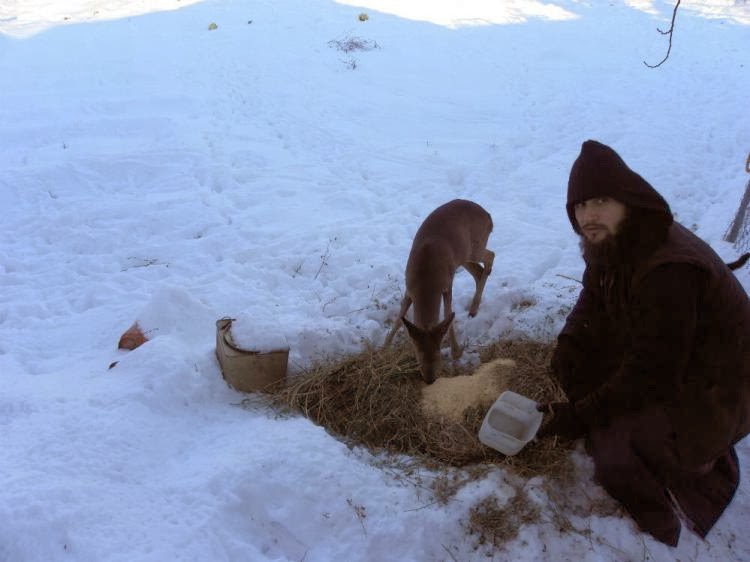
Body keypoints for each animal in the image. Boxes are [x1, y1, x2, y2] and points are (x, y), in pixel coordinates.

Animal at [384, 197, 496, 380]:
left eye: (437, 354)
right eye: (418, 354)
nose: (430, 379)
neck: (426, 280)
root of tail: (488, 216)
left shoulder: (446, 284)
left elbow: (447, 313)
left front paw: (456, 352)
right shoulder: (409, 288)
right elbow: (400, 316)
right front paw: (383, 347)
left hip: (473, 247)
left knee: (490, 256)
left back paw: (474, 308)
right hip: (463, 255)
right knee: (479, 271)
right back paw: (474, 307)